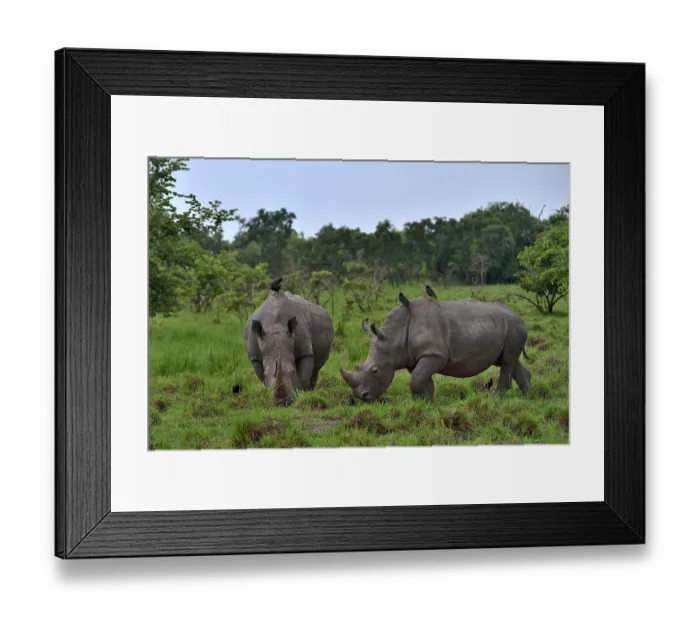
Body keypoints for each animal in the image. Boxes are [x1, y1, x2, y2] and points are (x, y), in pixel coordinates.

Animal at [339, 296, 531, 402]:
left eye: (375, 370)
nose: (361, 396)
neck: (394, 337)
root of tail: (520, 317)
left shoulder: (435, 354)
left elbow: (416, 379)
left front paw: (420, 401)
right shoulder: (413, 356)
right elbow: (421, 379)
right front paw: (423, 402)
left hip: (514, 326)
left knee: (507, 361)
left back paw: (496, 400)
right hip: (502, 326)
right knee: (508, 361)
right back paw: (528, 397)